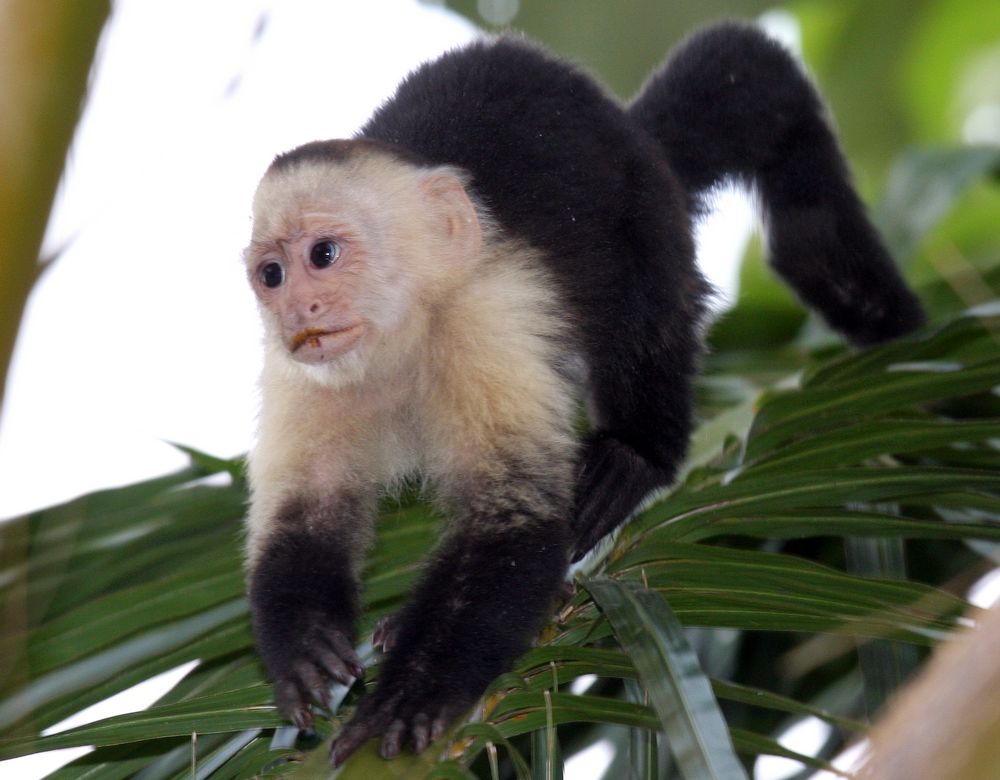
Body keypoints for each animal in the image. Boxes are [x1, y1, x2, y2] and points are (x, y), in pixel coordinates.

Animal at [240, 21, 920, 764]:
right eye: (271, 274)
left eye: (323, 256)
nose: (297, 310)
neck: (403, 341)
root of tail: (626, 121)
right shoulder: (300, 375)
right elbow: (305, 514)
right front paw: (305, 647)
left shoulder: (487, 318)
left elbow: (514, 521)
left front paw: (412, 692)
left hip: (645, 200)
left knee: (644, 315)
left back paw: (635, 454)